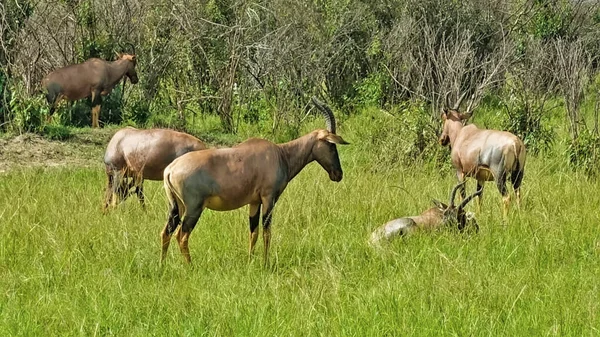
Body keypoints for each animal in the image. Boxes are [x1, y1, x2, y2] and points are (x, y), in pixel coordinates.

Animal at [159, 96, 350, 266]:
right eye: (331, 145)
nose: (338, 174)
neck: (280, 154)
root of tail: (170, 169)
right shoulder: (269, 198)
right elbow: (267, 231)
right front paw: (266, 263)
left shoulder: (254, 202)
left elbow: (253, 232)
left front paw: (250, 261)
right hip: (194, 208)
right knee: (181, 236)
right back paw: (190, 267)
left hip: (176, 206)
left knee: (165, 232)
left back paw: (162, 265)